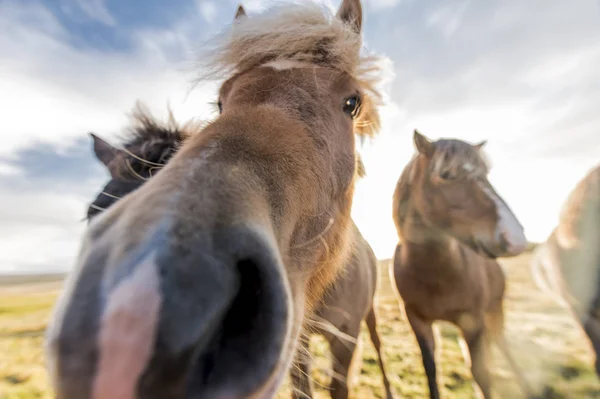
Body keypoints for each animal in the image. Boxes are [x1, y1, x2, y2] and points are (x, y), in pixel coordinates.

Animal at [394, 131, 536, 399]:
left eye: (486, 174)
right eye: (446, 175)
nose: (515, 239)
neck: (435, 275)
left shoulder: (473, 322)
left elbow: (481, 374)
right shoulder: (417, 321)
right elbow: (430, 369)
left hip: (495, 310)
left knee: (502, 345)